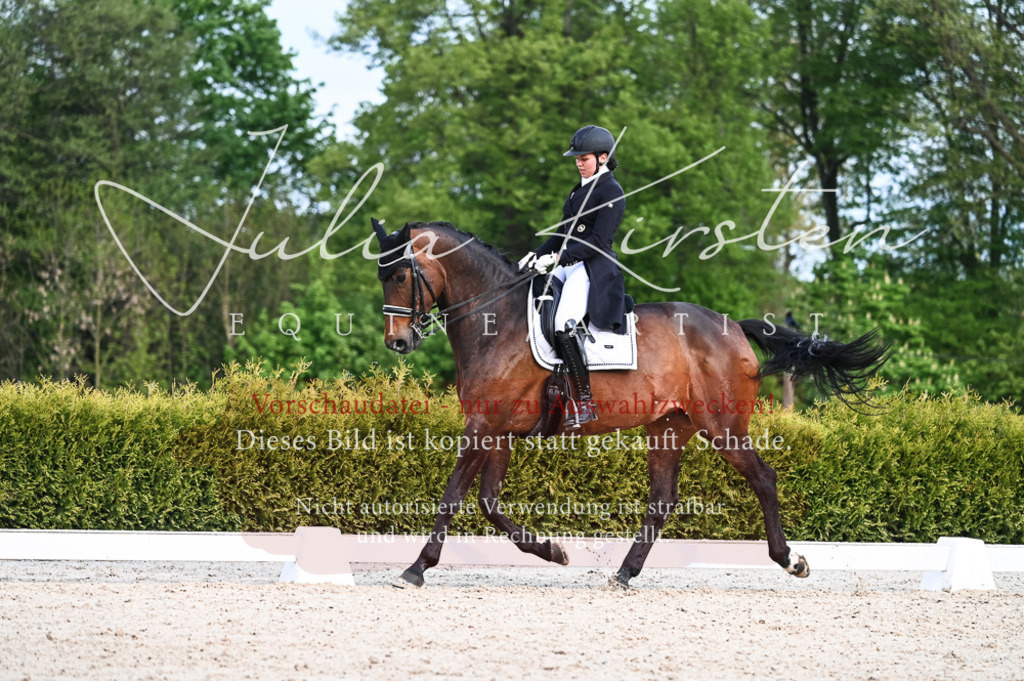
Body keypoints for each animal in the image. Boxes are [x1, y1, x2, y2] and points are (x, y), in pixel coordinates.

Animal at [371, 219, 889, 588]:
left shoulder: (483, 425)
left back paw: (790, 559)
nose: (398, 342)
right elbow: (488, 502)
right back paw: (624, 572)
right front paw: (553, 550)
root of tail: (734, 328)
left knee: (764, 478)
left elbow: (453, 495)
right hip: (670, 426)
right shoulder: (498, 429)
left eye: (399, 274)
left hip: (722, 425)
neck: (497, 321)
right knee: (662, 500)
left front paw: (417, 568)